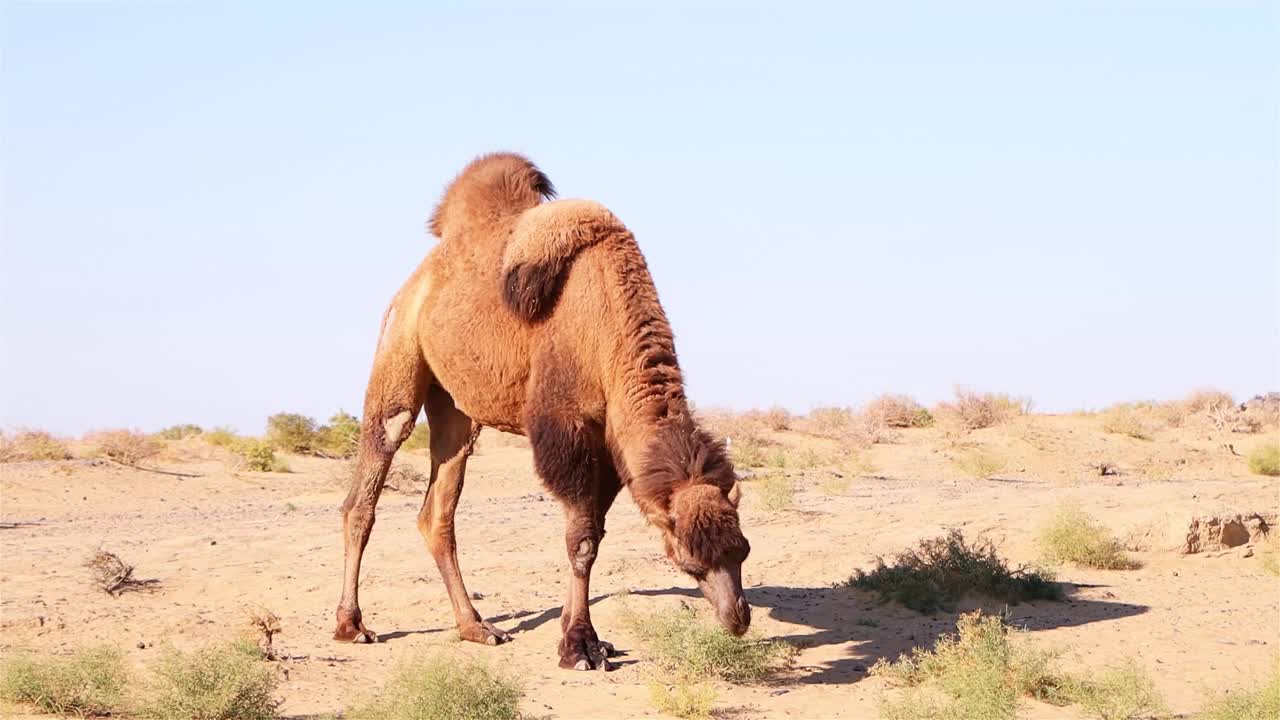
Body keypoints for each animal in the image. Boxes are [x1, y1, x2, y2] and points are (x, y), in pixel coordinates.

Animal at [332, 151, 747, 666]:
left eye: (743, 551)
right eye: (688, 563)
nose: (739, 618)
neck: (606, 315)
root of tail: (417, 282)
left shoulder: (607, 443)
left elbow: (591, 535)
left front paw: (582, 636)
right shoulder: (566, 425)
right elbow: (582, 540)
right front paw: (580, 646)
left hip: (456, 408)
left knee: (438, 509)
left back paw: (476, 627)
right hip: (398, 349)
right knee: (376, 464)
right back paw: (352, 625)